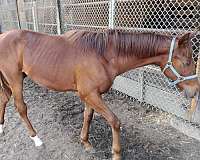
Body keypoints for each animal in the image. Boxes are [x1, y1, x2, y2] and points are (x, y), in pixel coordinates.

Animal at [0, 29, 198, 159]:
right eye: (187, 61)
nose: (195, 90)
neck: (103, 55)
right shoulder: (90, 94)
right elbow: (114, 121)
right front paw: (116, 153)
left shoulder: (91, 96)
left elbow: (87, 117)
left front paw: (85, 143)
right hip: (15, 80)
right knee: (21, 107)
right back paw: (36, 139)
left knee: (3, 99)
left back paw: (1, 127)